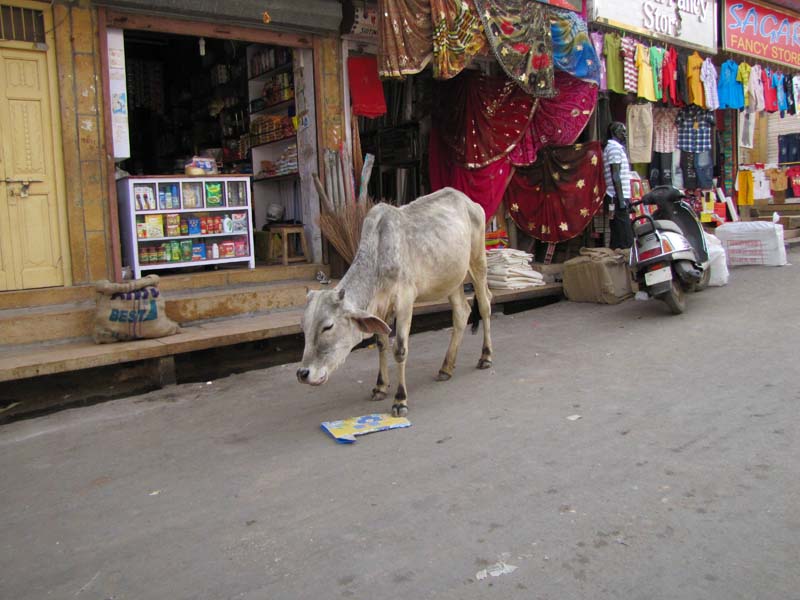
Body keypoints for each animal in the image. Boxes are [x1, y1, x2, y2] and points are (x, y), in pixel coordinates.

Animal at [296, 188, 494, 418]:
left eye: (328, 327)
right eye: (304, 327)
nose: (303, 373)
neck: (378, 255)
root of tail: (468, 201)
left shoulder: (405, 302)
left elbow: (399, 350)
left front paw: (400, 400)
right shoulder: (380, 311)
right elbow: (381, 343)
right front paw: (380, 387)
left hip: (478, 262)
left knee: (485, 305)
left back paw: (486, 356)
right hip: (451, 279)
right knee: (462, 312)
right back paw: (446, 367)